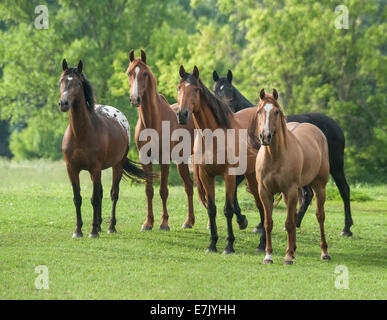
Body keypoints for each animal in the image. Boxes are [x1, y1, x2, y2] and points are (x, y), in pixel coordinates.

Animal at [59, 59, 151, 238]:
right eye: (61, 81)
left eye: (78, 83)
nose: (64, 103)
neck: (80, 133)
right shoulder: (72, 169)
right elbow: (78, 198)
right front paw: (78, 231)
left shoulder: (95, 169)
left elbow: (94, 199)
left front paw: (93, 231)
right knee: (101, 193)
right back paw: (100, 224)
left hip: (117, 166)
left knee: (113, 194)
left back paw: (110, 227)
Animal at [126, 49, 196, 230]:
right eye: (129, 72)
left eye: (144, 73)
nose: (135, 99)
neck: (152, 121)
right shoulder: (145, 159)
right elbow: (149, 191)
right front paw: (148, 222)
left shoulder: (164, 159)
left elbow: (163, 191)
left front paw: (164, 223)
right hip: (181, 161)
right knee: (189, 186)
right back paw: (189, 221)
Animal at [177, 66, 266, 254]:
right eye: (179, 88)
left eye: (195, 89)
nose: (182, 114)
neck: (215, 137)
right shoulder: (206, 176)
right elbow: (212, 209)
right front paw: (212, 244)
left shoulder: (229, 176)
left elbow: (228, 209)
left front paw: (229, 245)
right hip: (251, 177)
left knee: (263, 205)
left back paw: (262, 244)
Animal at [214, 69, 354, 236]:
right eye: (215, 90)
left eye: (230, 91)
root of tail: (335, 125)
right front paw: (243, 219)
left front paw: (246, 220)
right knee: (308, 195)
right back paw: (297, 222)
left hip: (336, 166)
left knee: (344, 190)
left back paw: (346, 228)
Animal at [255, 89, 330, 264]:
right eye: (259, 111)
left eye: (276, 111)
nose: (265, 136)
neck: (274, 156)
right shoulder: (265, 192)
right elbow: (268, 223)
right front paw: (268, 256)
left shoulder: (290, 190)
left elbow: (289, 223)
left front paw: (288, 256)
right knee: (296, 214)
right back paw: (294, 248)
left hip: (319, 187)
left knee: (320, 216)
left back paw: (324, 252)